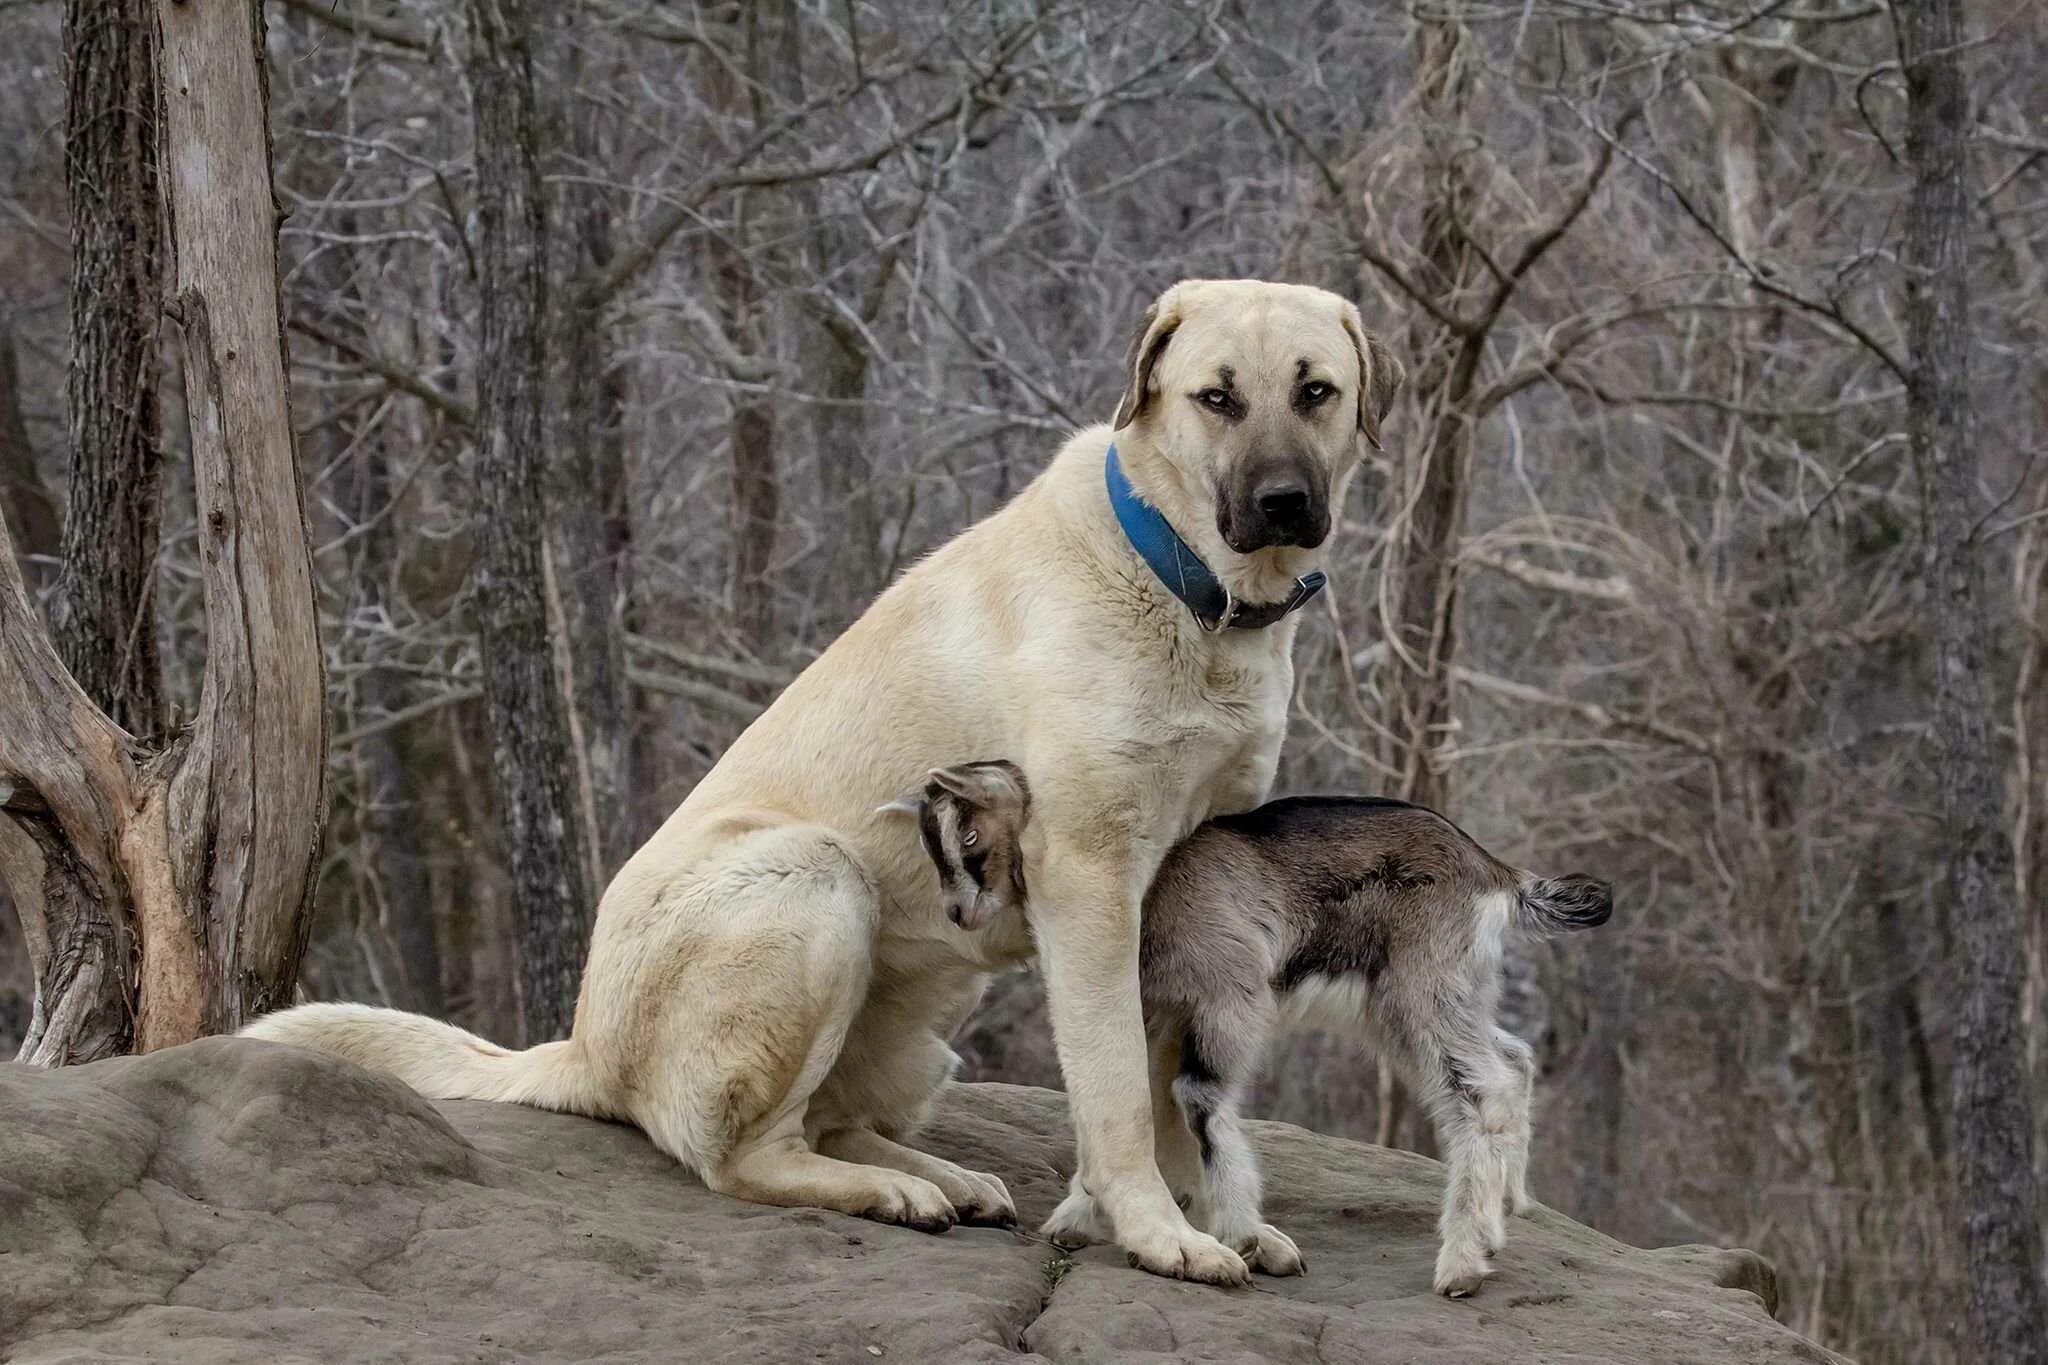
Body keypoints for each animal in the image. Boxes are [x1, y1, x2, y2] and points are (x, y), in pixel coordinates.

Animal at [235, 280, 1392, 1293]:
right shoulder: (1089, 878)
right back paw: (889, 1192)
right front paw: (1158, 1230)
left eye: (1316, 391)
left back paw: (938, 1177)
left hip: (927, 1009)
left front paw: (1209, 1219)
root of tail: (584, 1047)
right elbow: (1114, 1086)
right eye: (1215, 398)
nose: (1283, 502)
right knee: (742, 1155)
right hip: (815, 876)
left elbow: (1161, 1075)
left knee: (829, 1117)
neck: (1185, 583)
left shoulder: (1178, 881)